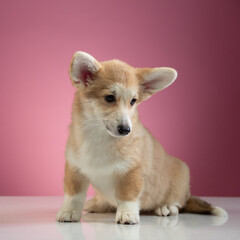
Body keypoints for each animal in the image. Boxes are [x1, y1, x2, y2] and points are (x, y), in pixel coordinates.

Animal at [56, 51, 227, 224]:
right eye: (109, 98)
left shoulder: (131, 171)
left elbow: (126, 195)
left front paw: (127, 215)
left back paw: (166, 207)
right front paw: (69, 212)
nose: (126, 130)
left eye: (133, 101)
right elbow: (74, 195)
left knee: (178, 202)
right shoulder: (74, 169)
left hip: (182, 174)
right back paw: (96, 204)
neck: (99, 136)